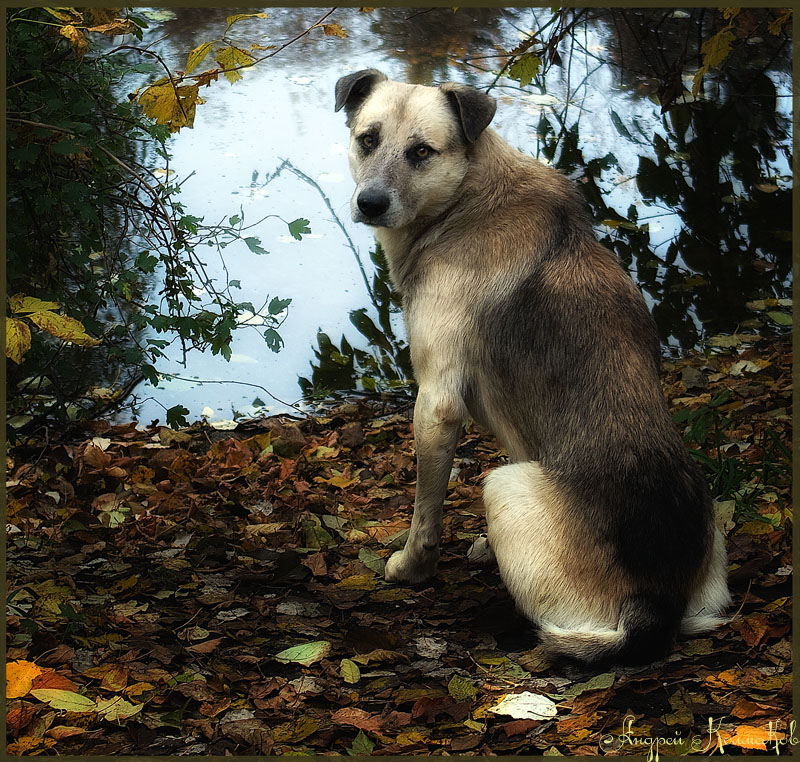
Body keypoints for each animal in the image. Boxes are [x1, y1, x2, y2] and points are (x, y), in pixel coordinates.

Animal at [334, 68, 728, 664]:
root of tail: (655, 606)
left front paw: (412, 568)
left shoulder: (436, 403)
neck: (465, 202)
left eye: (422, 151)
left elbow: (426, 511)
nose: (371, 202)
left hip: (502, 487)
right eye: (367, 139)